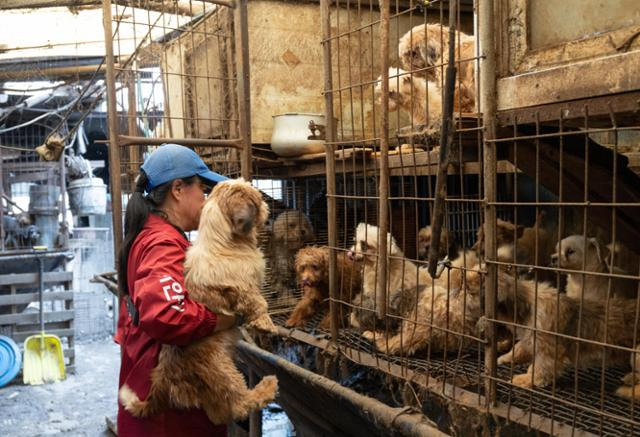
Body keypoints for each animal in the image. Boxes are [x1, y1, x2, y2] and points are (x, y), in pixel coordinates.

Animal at [119, 177, 278, 422]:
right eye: (256, 199)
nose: (267, 207)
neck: (223, 242)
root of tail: (162, 378)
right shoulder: (241, 288)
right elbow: (257, 302)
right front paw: (266, 324)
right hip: (221, 369)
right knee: (240, 404)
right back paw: (267, 387)